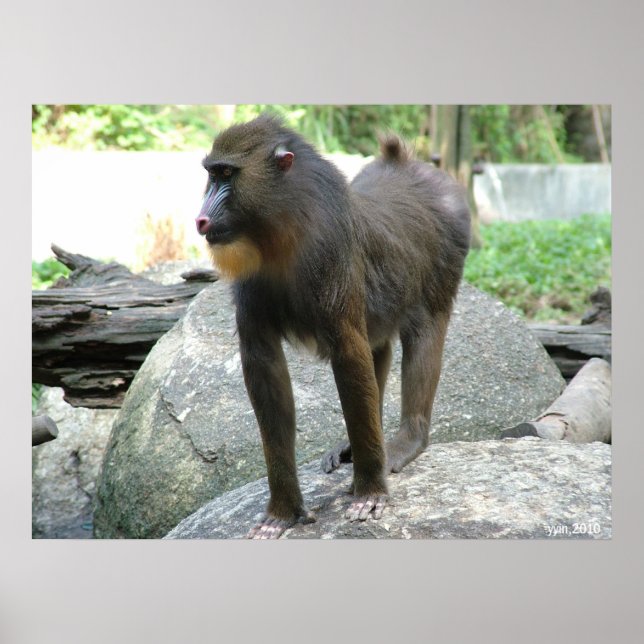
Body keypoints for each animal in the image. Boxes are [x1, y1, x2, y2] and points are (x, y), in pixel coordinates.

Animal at [195, 114, 471, 539]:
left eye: (227, 174)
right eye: (212, 174)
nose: (202, 218)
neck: (283, 231)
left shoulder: (332, 268)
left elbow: (350, 353)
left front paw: (370, 492)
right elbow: (265, 370)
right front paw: (281, 512)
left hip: (442, 269)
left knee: (424, 337)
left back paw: (405, 441)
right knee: (379, 349)